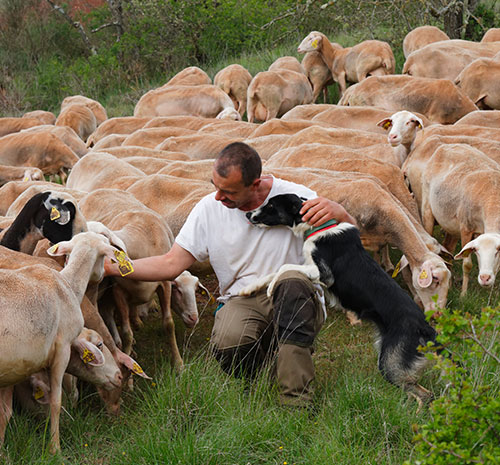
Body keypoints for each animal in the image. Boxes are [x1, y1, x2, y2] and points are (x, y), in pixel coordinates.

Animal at [0, 230, 119, 452]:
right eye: (99, 344)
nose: (119, 377)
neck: (69, 284)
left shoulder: (12, 369)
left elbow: (4, 412)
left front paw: (2, 449)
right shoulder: (62, 350)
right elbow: (56, 402)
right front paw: (54, 448)